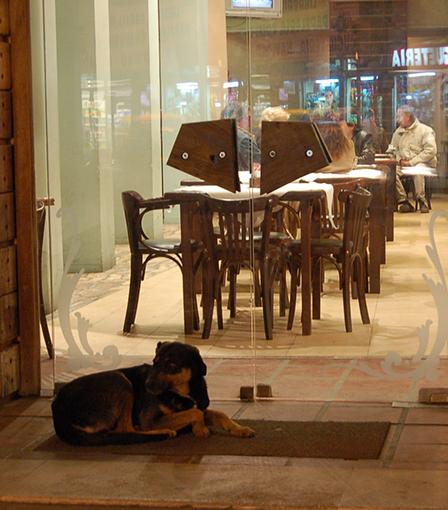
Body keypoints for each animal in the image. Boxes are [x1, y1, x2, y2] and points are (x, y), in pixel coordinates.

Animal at [50, 342, 254, 446]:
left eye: (171, 365)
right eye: (154, 362)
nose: (146, 385)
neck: (184, 392)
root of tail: (57, 410)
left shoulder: (202, 407)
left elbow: (219, 413)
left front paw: (239, 428)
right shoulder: (150, 419)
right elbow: (193, 413)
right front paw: (200, 428)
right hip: (120, 380)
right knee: (126, 428)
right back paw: (163, 431)